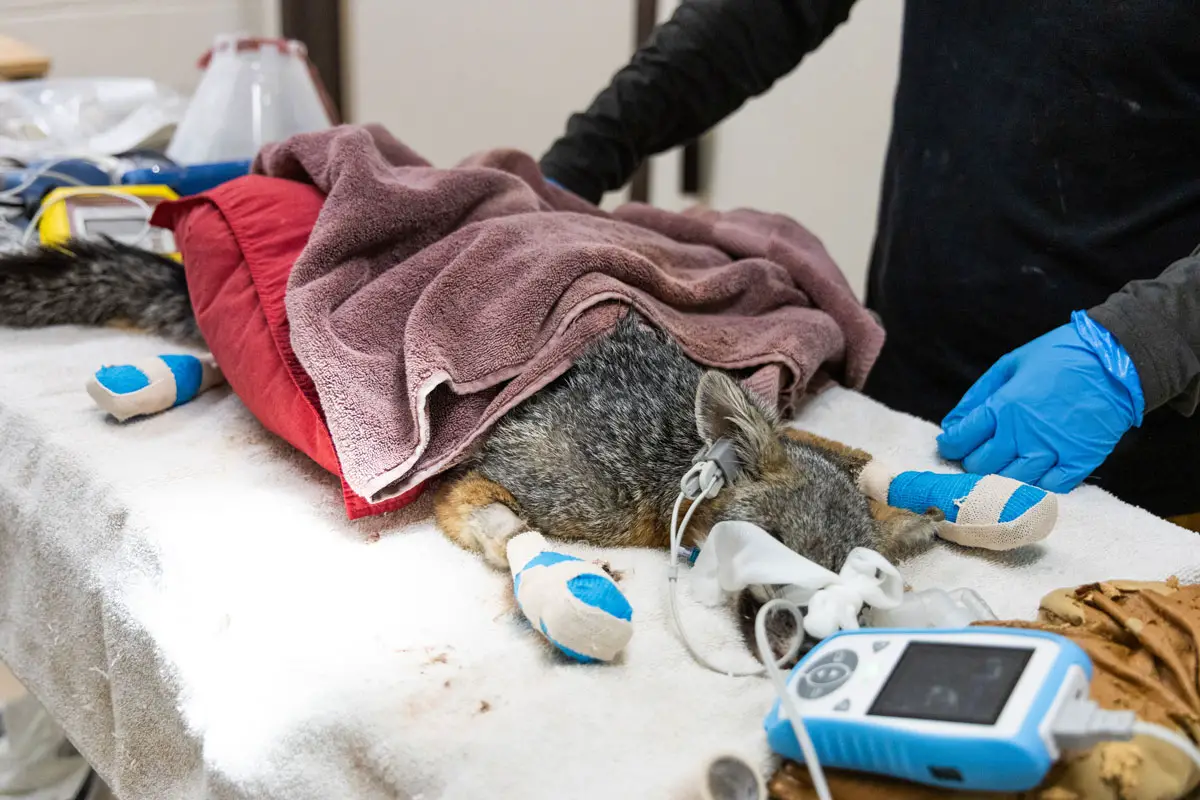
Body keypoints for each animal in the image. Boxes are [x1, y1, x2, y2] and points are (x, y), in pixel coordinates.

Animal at [0, 239, 945, 659]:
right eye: (767, 555)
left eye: (855, 601)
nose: (796, 645)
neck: (664, 448)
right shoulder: (497, 473)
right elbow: (497, 526)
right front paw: (553, 578)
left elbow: (833, 440)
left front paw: (934, 487)